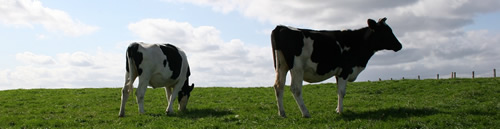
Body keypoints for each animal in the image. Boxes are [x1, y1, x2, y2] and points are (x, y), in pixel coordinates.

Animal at [270, 17, 402, 117]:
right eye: (385, 31)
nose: (399, 45)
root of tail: (281, 27)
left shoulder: (338, 73)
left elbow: (338, 91)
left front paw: (338, 109)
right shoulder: (345, 70)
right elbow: (342, 92)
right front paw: (340, 111)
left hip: (281, 66)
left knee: (279, 86)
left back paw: (282, 113)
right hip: (297, 67)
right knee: (295, 89)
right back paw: (305, 113)